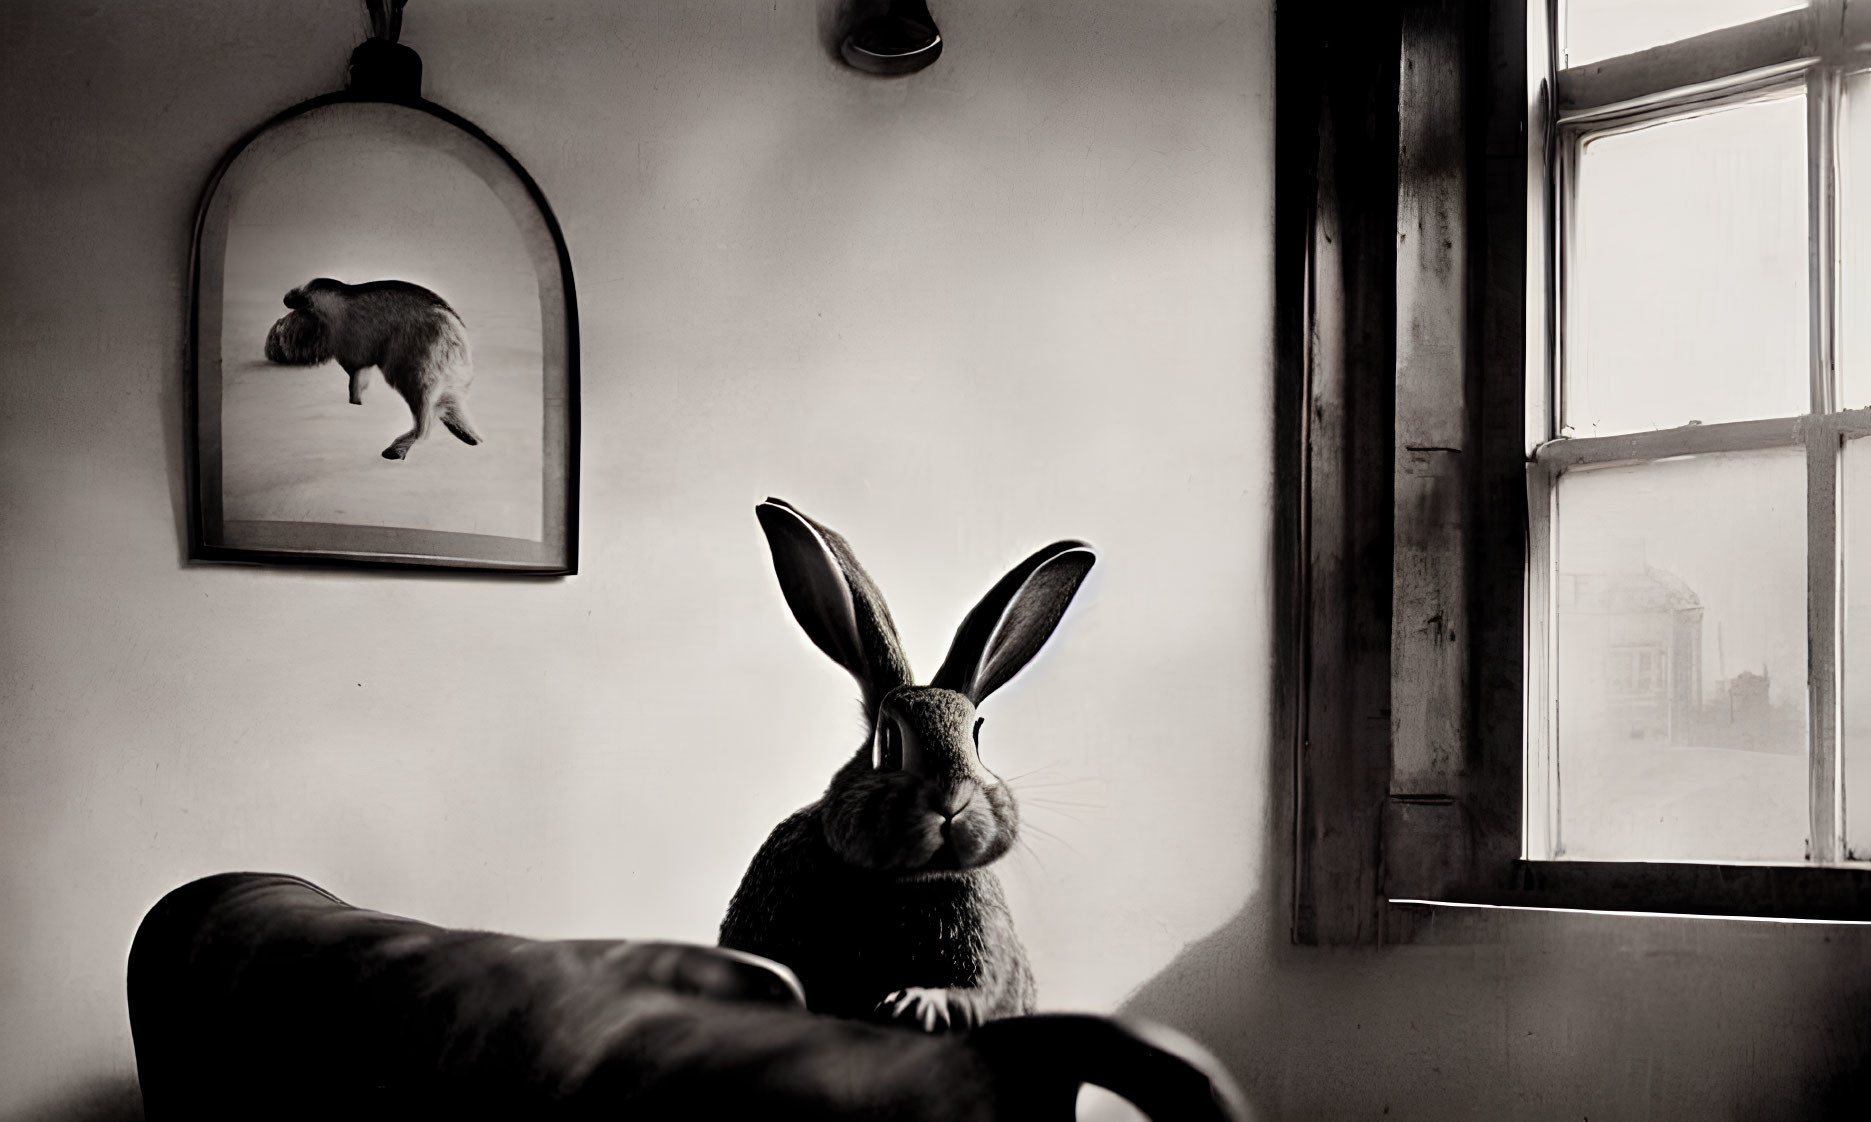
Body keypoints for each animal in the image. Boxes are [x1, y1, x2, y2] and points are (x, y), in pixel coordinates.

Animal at [718, 501, 1092, 1032]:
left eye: (977, 736)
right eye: (888, 743)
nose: (951, 802)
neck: (899, 881)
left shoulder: (983, 940)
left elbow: (977, 991)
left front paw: (917, 1004)